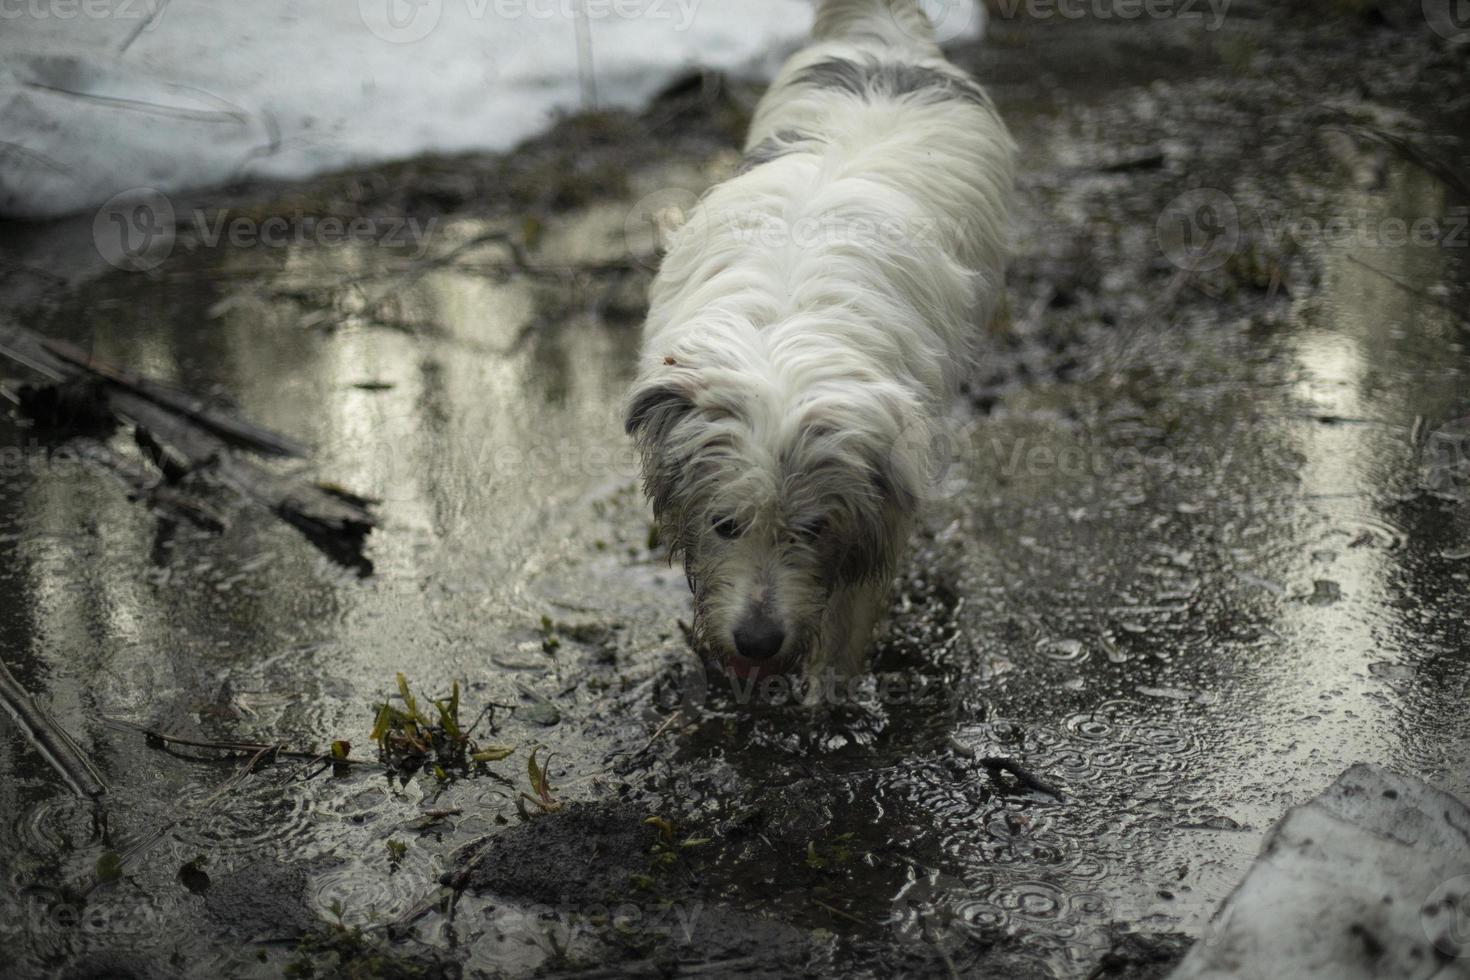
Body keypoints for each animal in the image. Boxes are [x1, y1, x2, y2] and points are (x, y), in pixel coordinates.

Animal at [620, 0, 1011, 687]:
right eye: (725, 523)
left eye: (812, 527)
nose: (755, 641)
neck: (782, 337)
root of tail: (887, 44)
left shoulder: (885, 498)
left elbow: (849, 615)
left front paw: (829, 695)